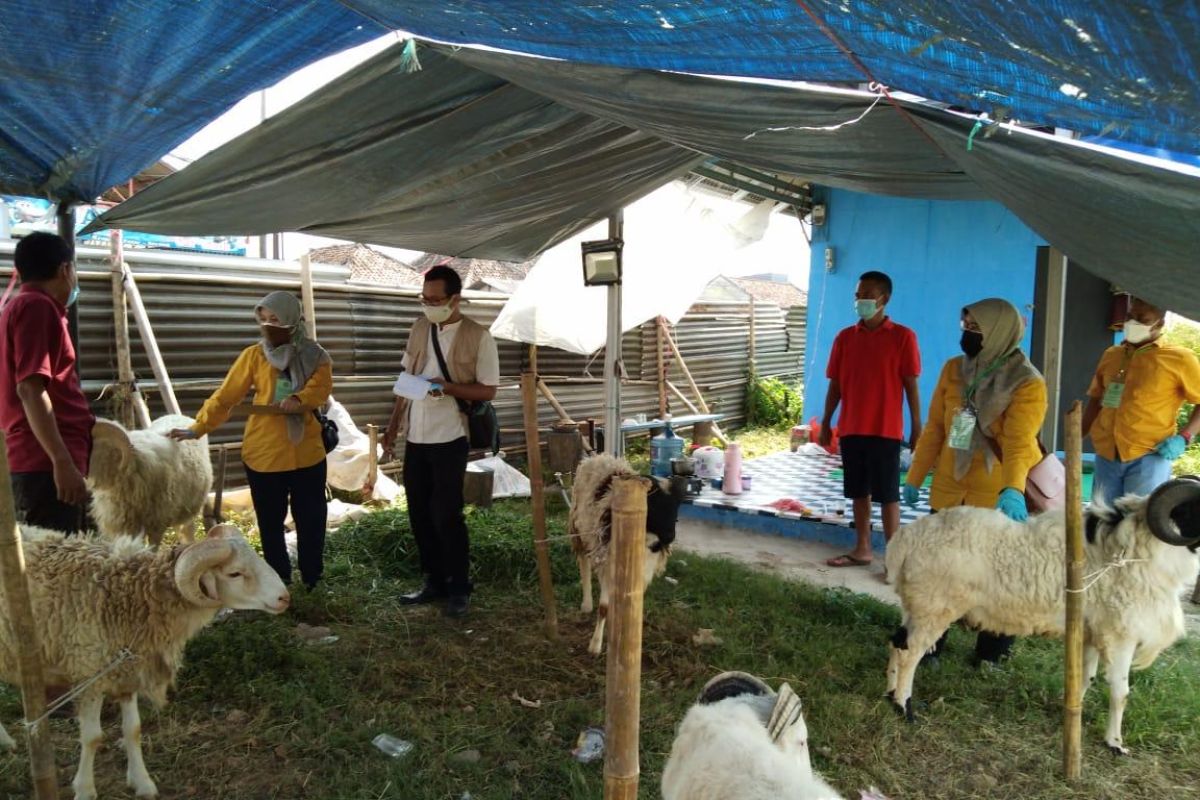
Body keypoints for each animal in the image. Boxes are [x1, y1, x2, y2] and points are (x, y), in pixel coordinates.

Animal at [0, 525, 289, 800]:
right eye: (234, 573)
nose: (285, 597)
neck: (128, 596)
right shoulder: (88, 674)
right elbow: (92, 738)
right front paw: (84, 790)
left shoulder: (128, 671)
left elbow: (133, 730)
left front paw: (143, 782)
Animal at [566, 455, 681, 657]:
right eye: (655, 503)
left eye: (675, 507)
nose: (669, 536)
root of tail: (597, 457)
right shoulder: (607, 566)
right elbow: (604, 608)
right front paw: (595, 646)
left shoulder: (643, 573)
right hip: (579, 529)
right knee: (584, 563)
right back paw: (587, 604)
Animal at [883, 479, 1200, 753]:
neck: (1136, 550)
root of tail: (906, 538)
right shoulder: (1120, 636)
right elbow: (1120, 692)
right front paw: (1115, 744)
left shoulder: (1091, 632)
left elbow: (1085, 679)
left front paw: (1070, 715)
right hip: (934, 608)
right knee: (909, 654)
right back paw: (904, 708)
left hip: (916, 606)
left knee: (896, 644)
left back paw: (890, 695)